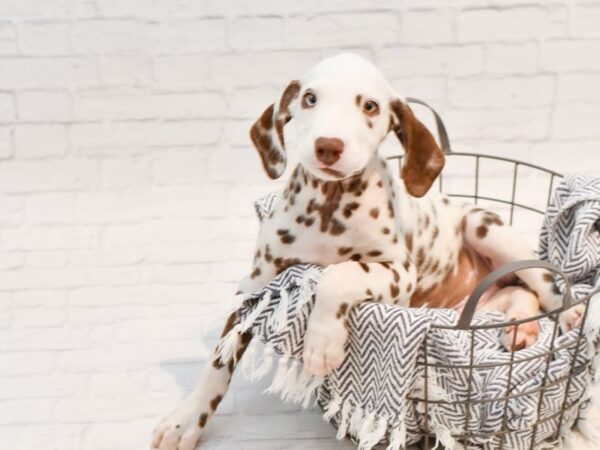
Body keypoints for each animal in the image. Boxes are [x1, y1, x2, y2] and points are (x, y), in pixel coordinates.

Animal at [150, 53, 572, 450]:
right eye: (310, 98)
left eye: (369, 106)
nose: (328, 146)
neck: (328, 206)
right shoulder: (257, 284)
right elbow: (218, 361)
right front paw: (185, 422)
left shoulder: (399, 273)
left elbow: (338, 275)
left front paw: (321, 344)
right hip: (473, 307)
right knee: (518, 293)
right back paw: (521, 327)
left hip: (485, 228)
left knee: (543, 284)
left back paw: (569, 313)